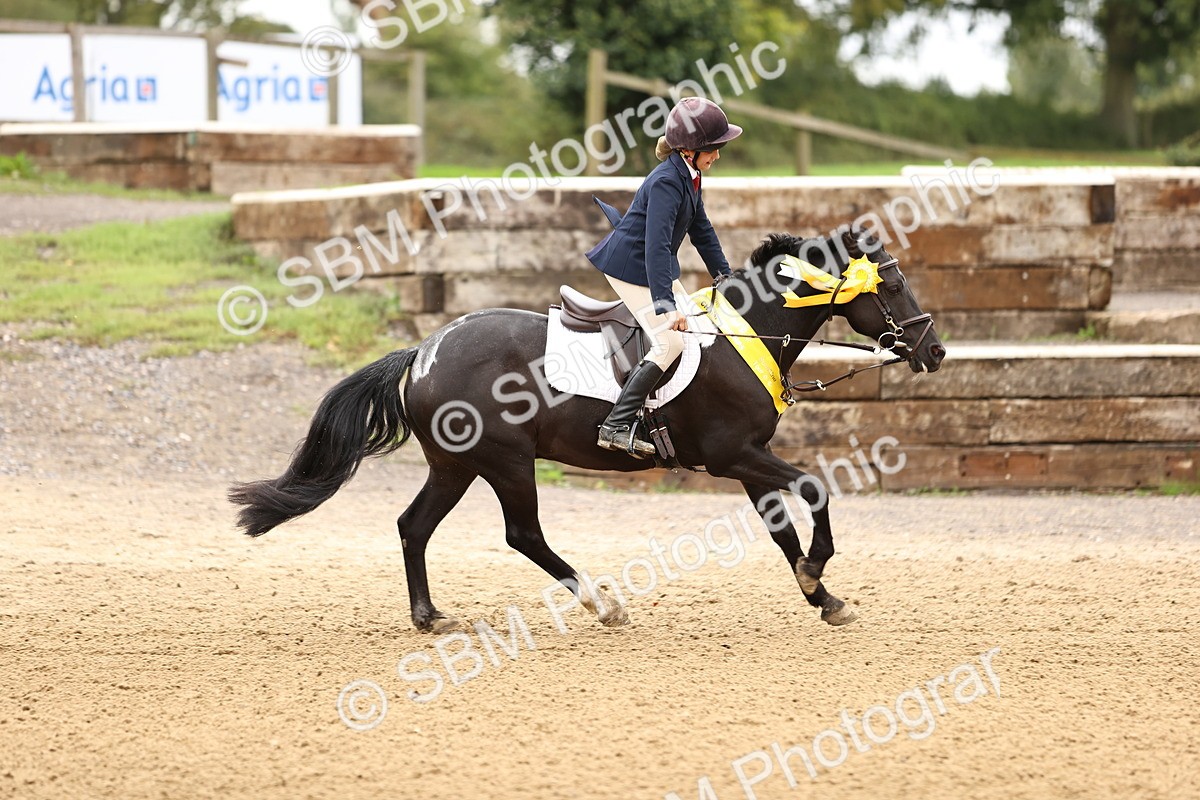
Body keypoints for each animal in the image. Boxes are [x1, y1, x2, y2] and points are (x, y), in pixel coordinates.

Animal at [229, 228, 945, 633]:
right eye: (894, 286)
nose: (935, 352)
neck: (745, 334)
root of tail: (424, 350)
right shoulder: (731, 454)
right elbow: (815, 491)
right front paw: (818, 571)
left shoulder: (748, 458)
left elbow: (779, 529)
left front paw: (820, 595)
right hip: (506, 461)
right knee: (522, 534)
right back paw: (604, 605)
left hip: (456, 465)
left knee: (414, 526)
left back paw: (428, 617)